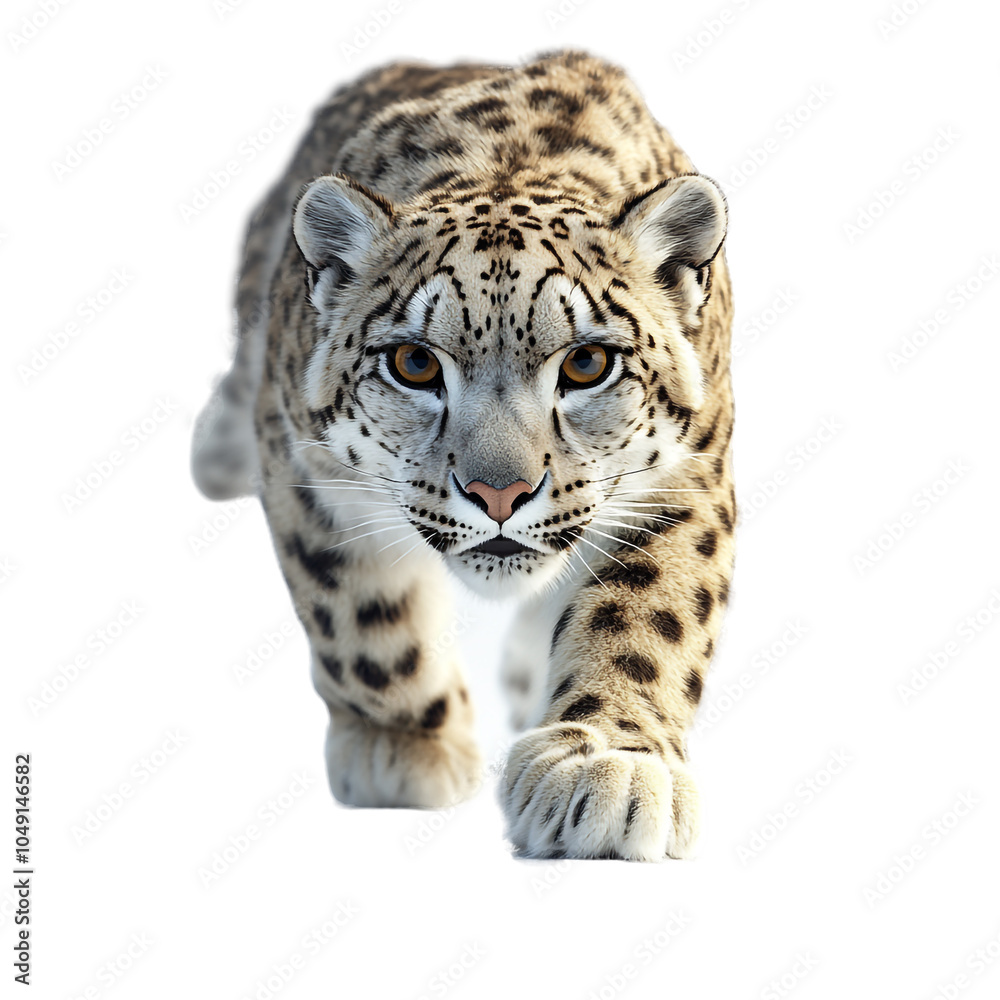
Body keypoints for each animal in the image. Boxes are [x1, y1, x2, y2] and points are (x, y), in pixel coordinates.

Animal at [191, 49, 736, 862]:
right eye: (415, 363)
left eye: (586, 364)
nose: (499, 493)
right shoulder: (306, 472)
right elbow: (361, 622)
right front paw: (410, 751)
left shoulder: (683, 482)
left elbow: (646, 617)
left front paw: (606, 771)